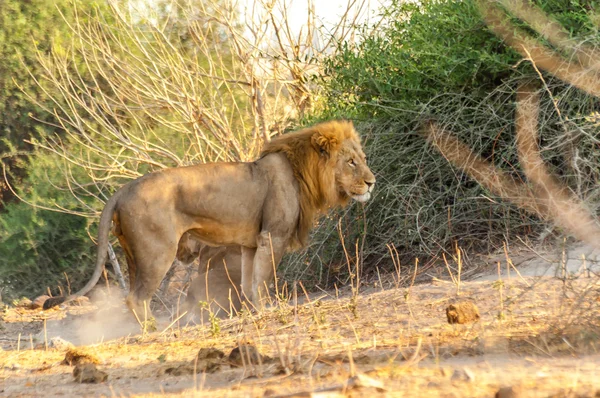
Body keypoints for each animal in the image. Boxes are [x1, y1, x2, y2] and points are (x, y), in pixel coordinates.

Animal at [44, 119, 376, 322]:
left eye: (362, 159)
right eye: (351, 162)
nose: (372, 182)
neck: (301, 172)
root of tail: (122, 189)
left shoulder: (251, 244)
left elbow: (249, 282)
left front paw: (253, 312)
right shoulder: (273, 236)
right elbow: (264, 280)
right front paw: (269, 309)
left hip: (132, 255)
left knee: (131, 296)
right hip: (157, 253)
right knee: (136, 299)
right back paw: (159, 331)